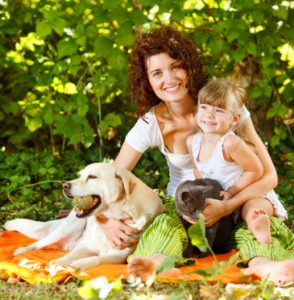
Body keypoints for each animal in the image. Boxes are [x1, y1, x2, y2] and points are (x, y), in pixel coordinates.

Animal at [3, 164, 165, 270]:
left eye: (92, 177)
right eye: (80, 175)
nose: (64, 186)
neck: (117, 215)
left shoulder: (118, 256)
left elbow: (96, 258)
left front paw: (78, 264)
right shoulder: (86, 246)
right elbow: (69, 256)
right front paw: (59, 262)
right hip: (67, 228)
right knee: (40, 242)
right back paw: (22, 250)